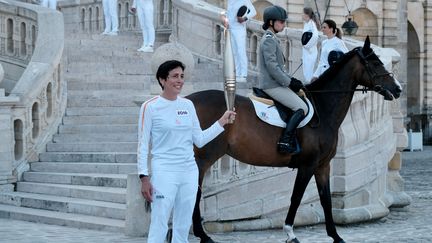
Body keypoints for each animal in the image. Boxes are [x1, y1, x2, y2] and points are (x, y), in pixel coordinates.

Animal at [187, 36, 404, 243]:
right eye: (375, 63)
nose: (398, 89)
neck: (323, 109)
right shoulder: (308, 165)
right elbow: (296, 197)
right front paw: (290, 233)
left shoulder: (323, 165)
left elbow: (326, 200)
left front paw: (336, 236)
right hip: (202, 159)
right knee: (194, 194)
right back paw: (203, 235)